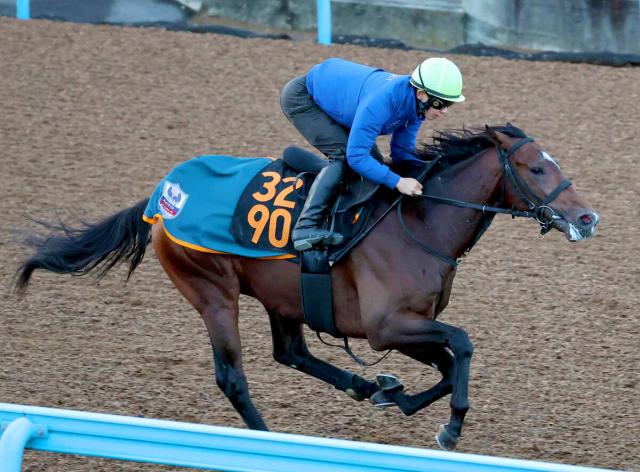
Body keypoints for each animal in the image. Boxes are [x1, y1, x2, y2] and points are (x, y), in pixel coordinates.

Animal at [14, 124, 599, 450]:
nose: (587, 217)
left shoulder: (407, 326)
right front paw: (449, 426)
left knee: (291, 352)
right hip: (213, 292)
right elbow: (462, 344)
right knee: (233, 377)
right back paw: (268, 440)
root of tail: (163, 195)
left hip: (284, 296)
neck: (420, 221)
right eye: (535, 168)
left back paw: (364, 386)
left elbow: (448, 362)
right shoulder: (386, 327)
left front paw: (393, 394)